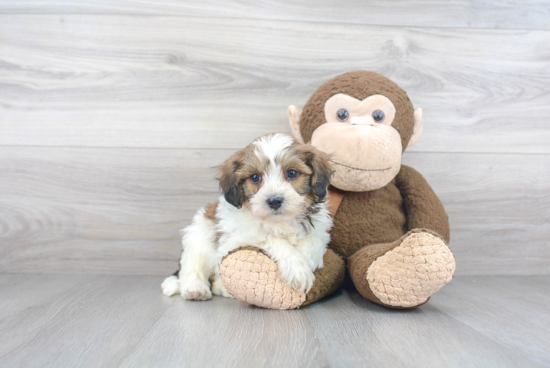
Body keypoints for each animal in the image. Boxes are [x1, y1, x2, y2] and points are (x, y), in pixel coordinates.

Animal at [162, 134, 334, 300]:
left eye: (292, 173)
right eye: (255, 177)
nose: (274, 201)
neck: (278, 221)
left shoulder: (320, 227)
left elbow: (314, 240)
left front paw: (307, 260)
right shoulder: (236, 238)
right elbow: (270, 238)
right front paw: (297, 266)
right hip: (198, 238)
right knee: (193, 267)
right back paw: (195, 289)